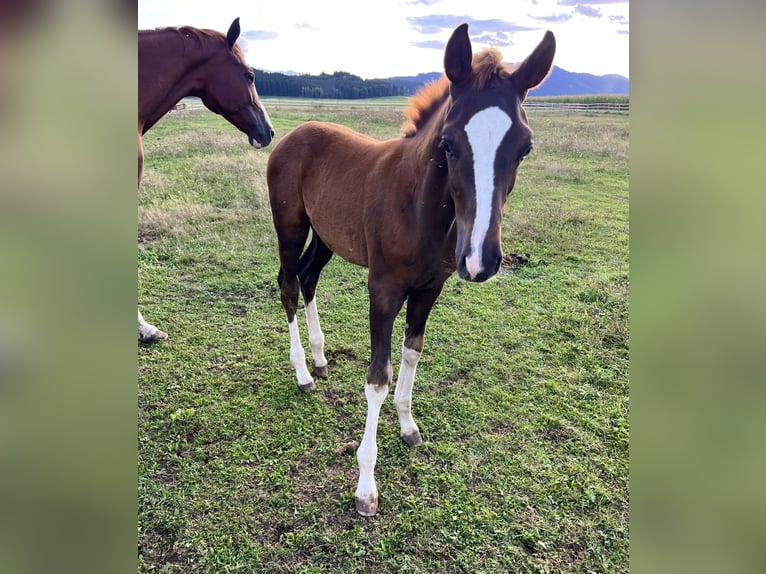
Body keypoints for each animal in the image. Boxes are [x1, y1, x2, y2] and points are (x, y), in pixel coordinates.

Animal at [267, 23, 555, 516]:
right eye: (448, 143)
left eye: (525, 146)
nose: (480, 259)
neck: (417, 207)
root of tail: (292, 135)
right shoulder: (382, 290)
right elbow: (377, 378)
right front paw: (366, 487)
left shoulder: (428, 290)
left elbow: (412, 353)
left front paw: (407, 426)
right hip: (291, 226)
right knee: (288, 283)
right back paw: (303, 373)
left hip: (326, 236)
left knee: (307, 277)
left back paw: (321, 360)